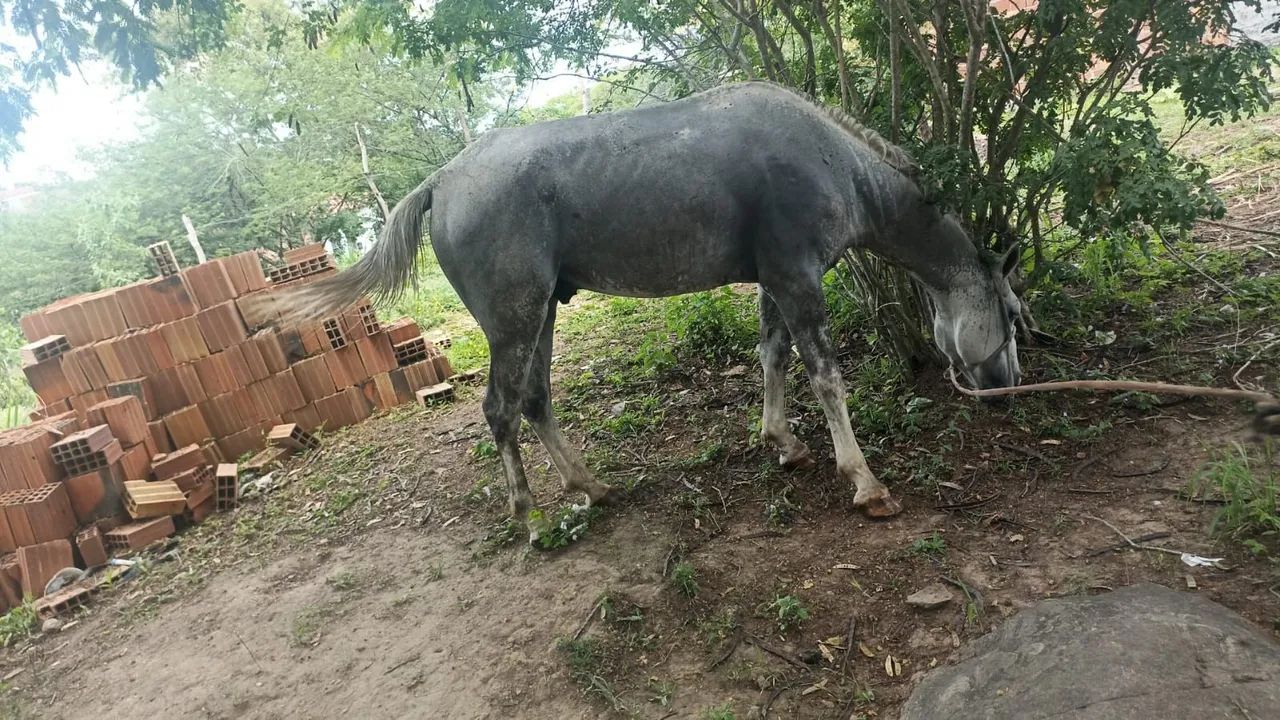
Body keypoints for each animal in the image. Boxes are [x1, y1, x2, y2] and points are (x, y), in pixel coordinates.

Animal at [258, 81, 1022, 542]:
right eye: (1014, 316)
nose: (1009, 390)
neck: (831, 159)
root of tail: (440, 181)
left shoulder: (775, 282)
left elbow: (772, 356)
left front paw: (783, 442)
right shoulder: (798, 279)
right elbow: (826, 377)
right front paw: (864, 481)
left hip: (542, 314)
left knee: (535, 399)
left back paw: (590, 486)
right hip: (513, 320)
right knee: (501, 411)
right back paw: (531, 518)